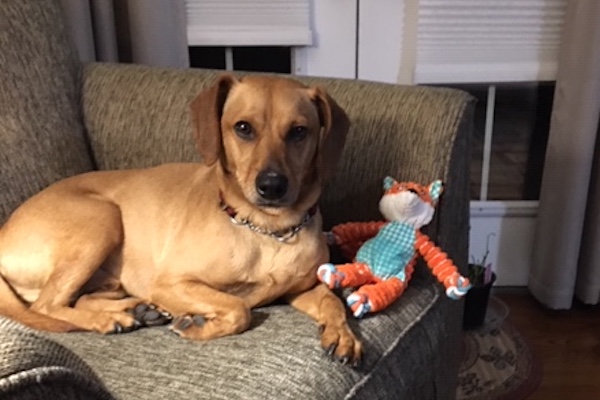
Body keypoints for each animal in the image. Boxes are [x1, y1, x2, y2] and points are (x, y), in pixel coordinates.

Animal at [0, 73, 360, 364]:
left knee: (79, 298)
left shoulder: (303, 288)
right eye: (243, 128)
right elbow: (239, 308)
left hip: (108, 271)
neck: (266, 230)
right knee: (46, 306)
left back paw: (135, 309)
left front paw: (343, 335)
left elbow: (332, 302)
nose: (271, 186)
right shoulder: (173, 282)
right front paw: (199, 325)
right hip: (102, 220)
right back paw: (110, 320)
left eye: (299, 132)